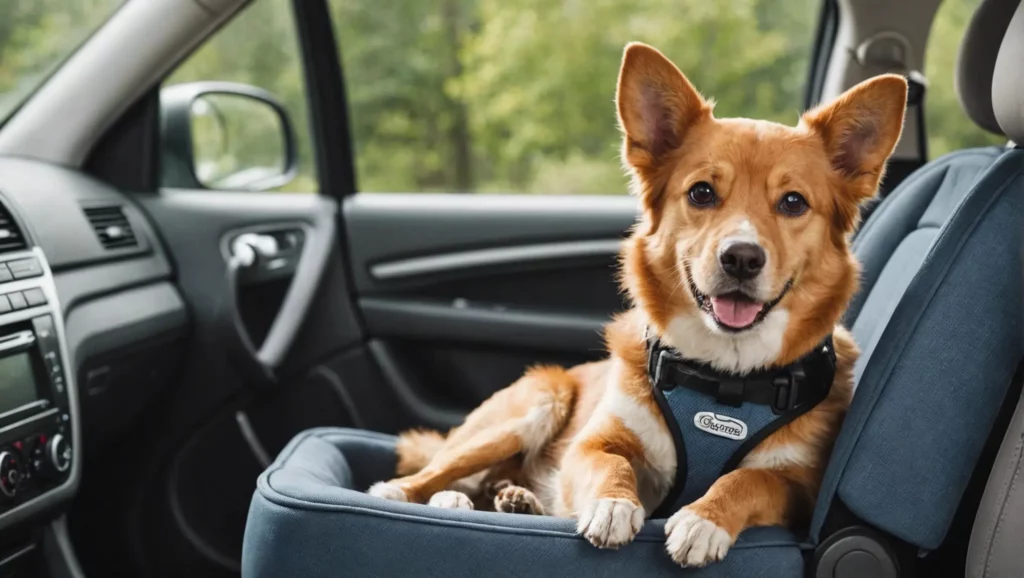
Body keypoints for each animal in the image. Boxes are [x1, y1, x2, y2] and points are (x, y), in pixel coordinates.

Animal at [368, 42, 905, 565]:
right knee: (442, 471)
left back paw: (513, 499)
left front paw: (704, 520)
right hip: (532, 405)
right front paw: (612, 506)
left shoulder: (799, 487)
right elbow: (611, 463)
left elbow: (748, 480)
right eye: (702, 193)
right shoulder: (591, 443)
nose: (741, 258)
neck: (723, 377)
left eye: (793, 202)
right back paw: (416, 493)